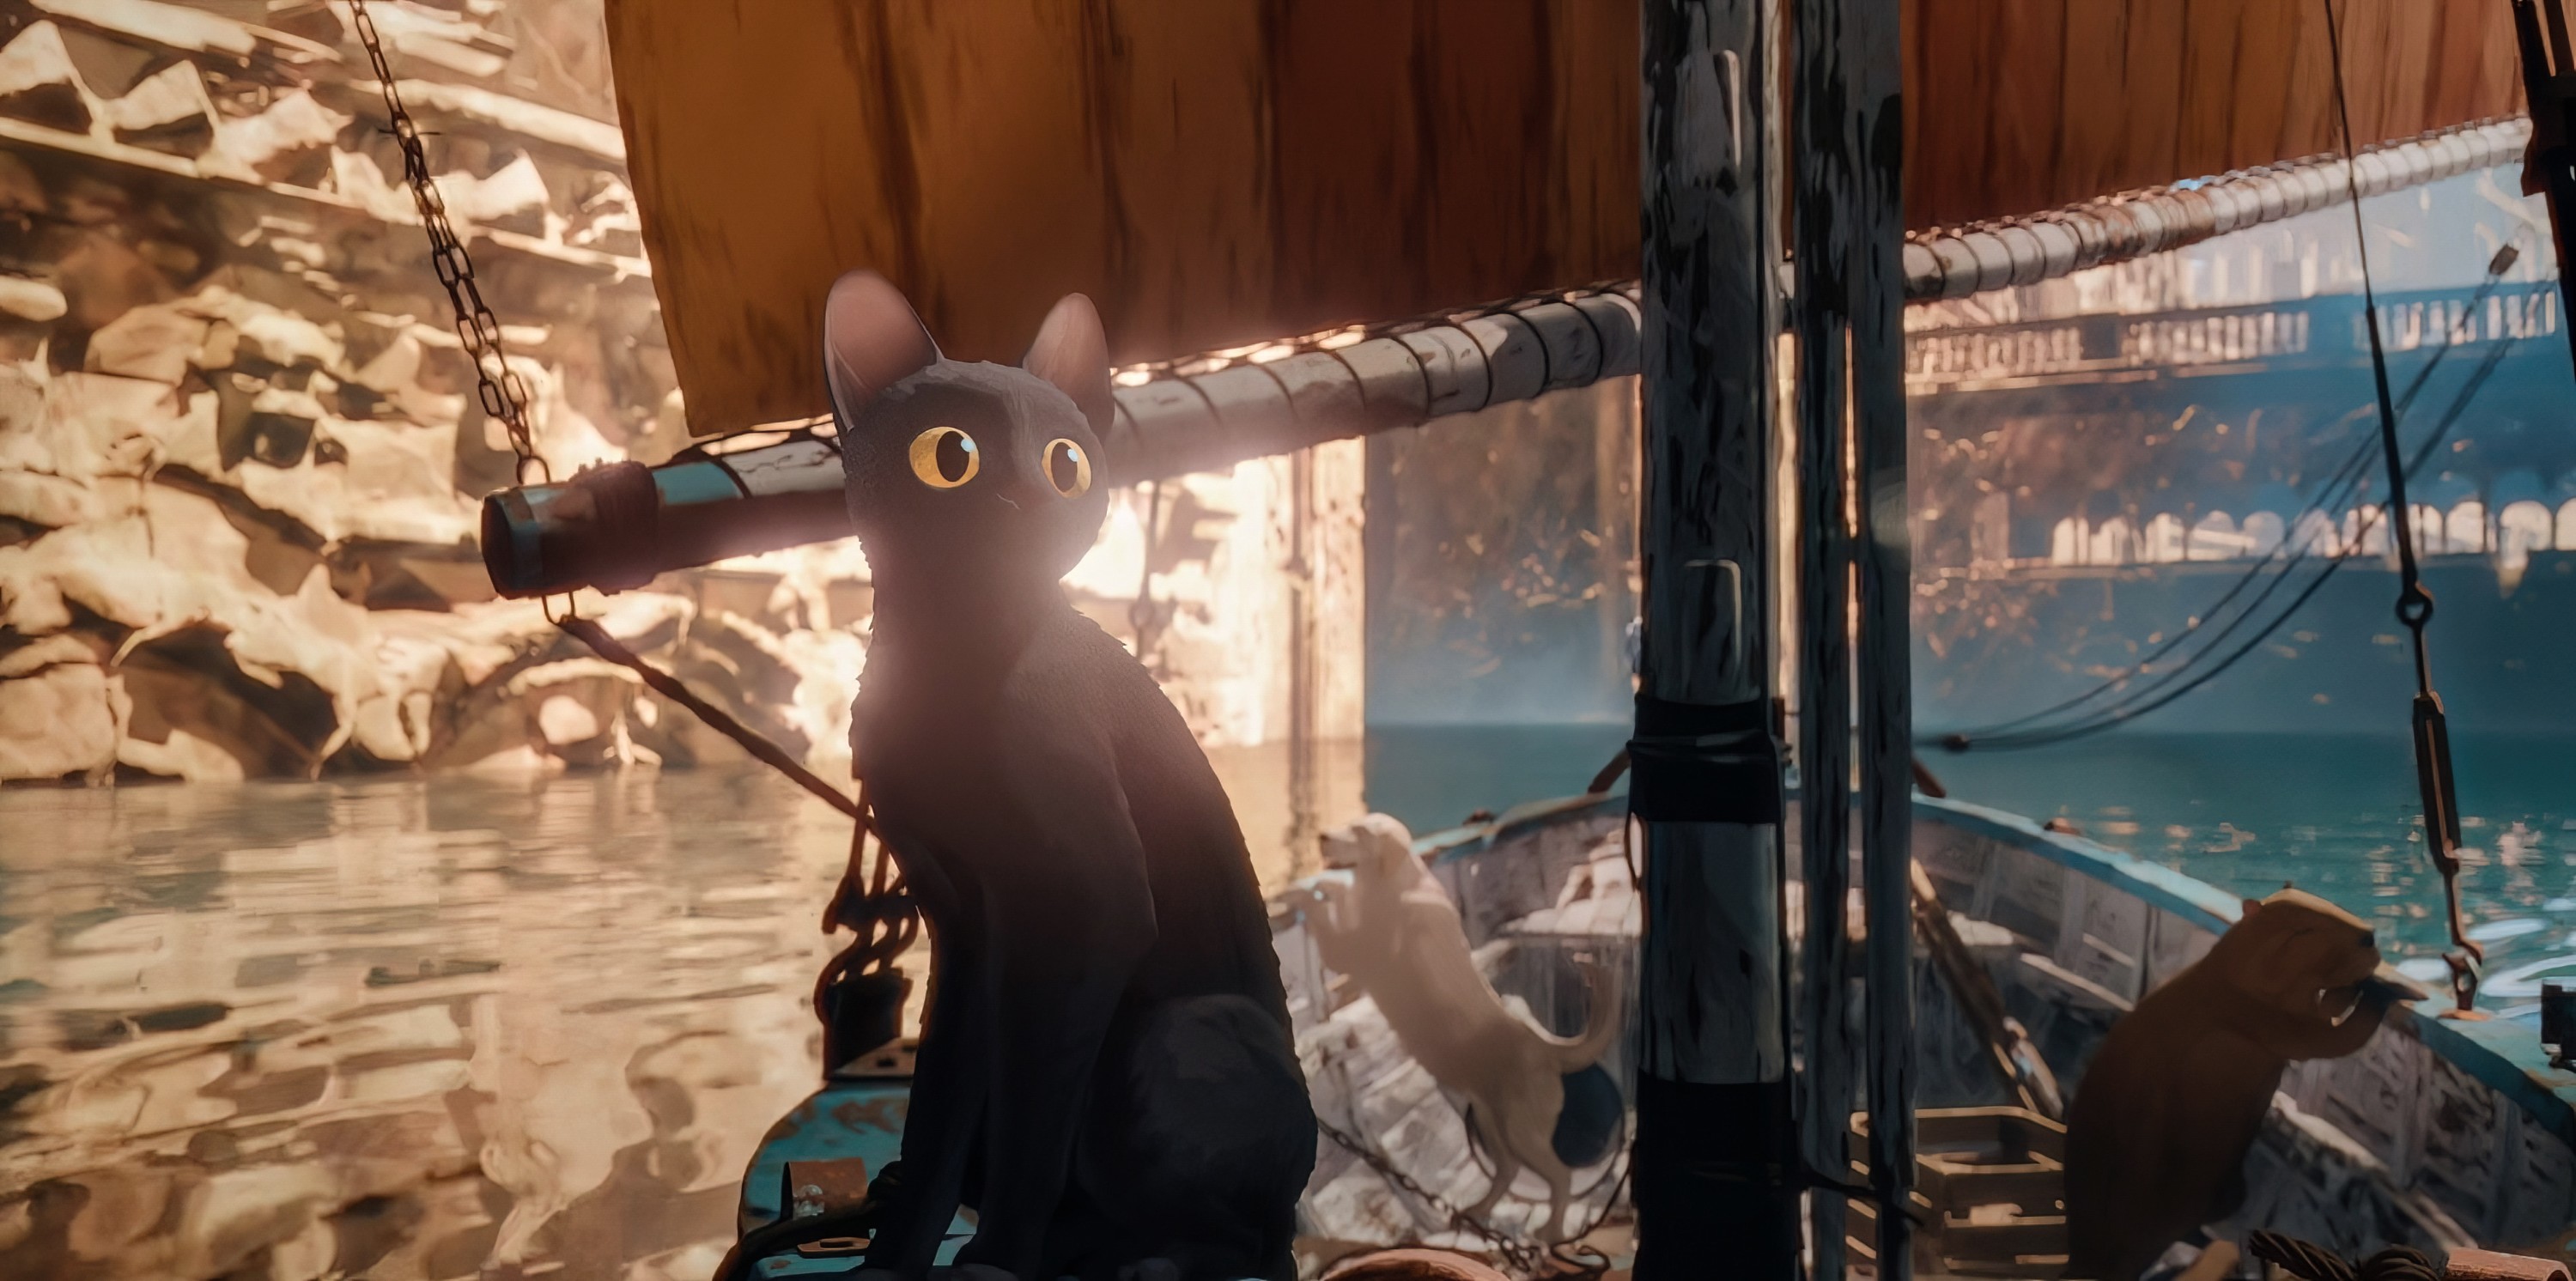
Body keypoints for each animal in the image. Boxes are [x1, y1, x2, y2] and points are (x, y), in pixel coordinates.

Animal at [819, 271, 1309, 1278]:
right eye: (951, 456)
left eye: (1067, 463)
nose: (1031, 498)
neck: (952, 665)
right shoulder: (968, 923)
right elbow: (940, 1106)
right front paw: (892, 1255)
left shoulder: (1087, 907)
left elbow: (1037, 1110)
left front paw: (996, 1259)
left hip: (1174, 1033)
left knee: (1251, 1240)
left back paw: (1134, 1256)